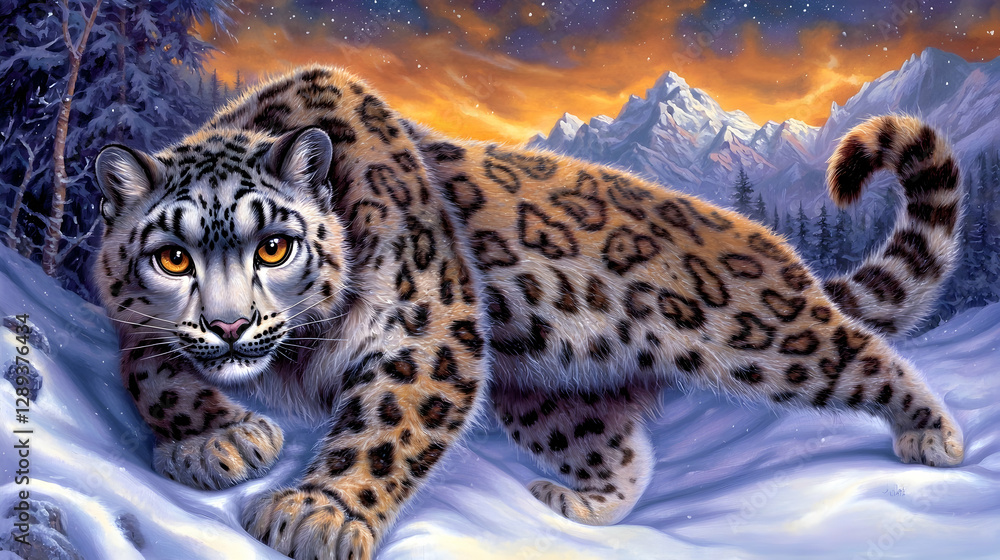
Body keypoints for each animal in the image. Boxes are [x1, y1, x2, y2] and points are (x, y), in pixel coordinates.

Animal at [93, 65, 965, 559]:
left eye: (274, 247)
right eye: (173, 258)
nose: (231, 327)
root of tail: (778, 251)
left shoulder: (429, 328)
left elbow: (385, 425)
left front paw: (317, 513)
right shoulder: (142, 330)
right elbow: (151, 374)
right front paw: (219, 442)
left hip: (771, 337)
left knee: (866, 354)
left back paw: (936, 436)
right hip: (549, 398)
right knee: (623, 455)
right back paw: (579, 505)